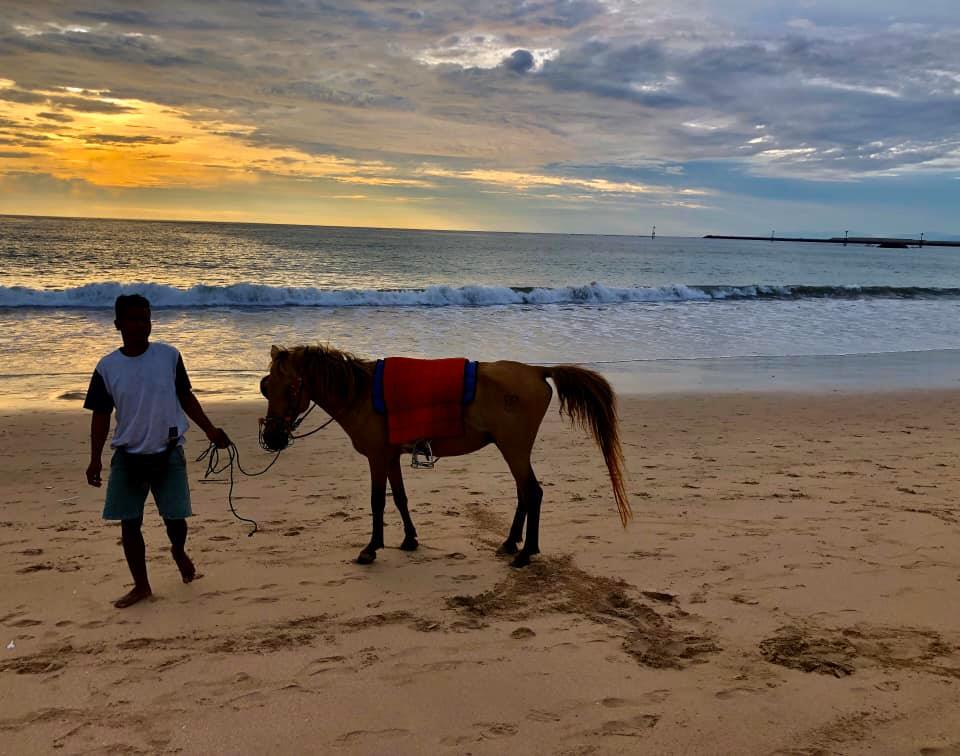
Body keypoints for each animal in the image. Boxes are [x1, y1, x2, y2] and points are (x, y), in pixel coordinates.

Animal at [258, 346, 632, 564]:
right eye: (265, 386)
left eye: (290, 388)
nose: (272, 437)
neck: (360, 394)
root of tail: (537, 370)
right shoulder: (391, 456)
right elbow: (400, 498)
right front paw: (409, 539)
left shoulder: (377, 457)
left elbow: (377, 501)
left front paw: (371, 547)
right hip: (512, 449)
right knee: (524, 495)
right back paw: (511, 543)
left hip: (513, 448)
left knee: (532, 493)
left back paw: (525, 552)